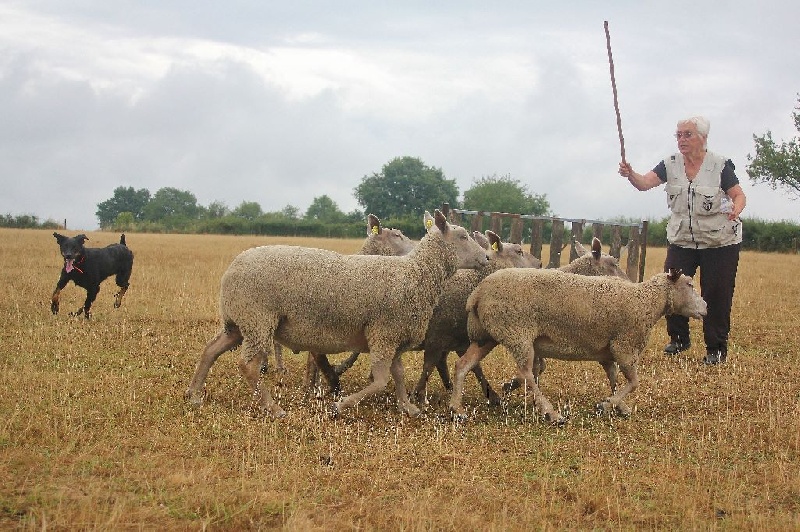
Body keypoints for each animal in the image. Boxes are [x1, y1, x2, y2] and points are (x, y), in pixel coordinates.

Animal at [185, 210, 488, 418]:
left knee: (210, 350)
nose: (486, 258)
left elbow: (399, 375)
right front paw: (340, 404)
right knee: (247, 366)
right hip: (257, 318)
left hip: (239, 321)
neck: (416, 274)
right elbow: (381, 381)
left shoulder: (393, 337)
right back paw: (273, 408)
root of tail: (231, 270)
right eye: (463, 236)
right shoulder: (384, 333)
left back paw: (194, 395)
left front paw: (408, 406)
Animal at [450, 270, 708, 424]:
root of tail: (477, 294)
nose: (706, 308)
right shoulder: (624, 346)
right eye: (689, 284)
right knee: (526, 374)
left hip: (488, 336)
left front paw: (618, 405)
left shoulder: (609, 352)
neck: (646, 301)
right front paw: (606, 405)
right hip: (517, 333)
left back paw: (457, 409)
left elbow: (614, 379)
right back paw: (552, 413)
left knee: (463, 365)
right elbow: (634, 382)